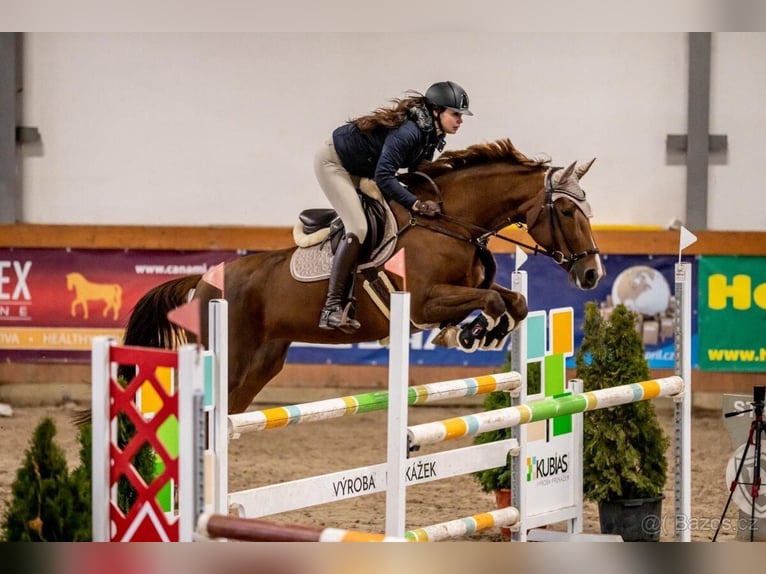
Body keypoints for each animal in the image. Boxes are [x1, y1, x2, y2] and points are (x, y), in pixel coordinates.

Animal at [121, 139, 605, 414]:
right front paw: (473, 332)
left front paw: (479, 332)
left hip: (262, 363)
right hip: (231, 357)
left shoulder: (466, 287)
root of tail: (203, 281)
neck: (448, 222)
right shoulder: (424, 301)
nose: (592, 274)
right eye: (566, 210)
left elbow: (513, 301)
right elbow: (489, 301)